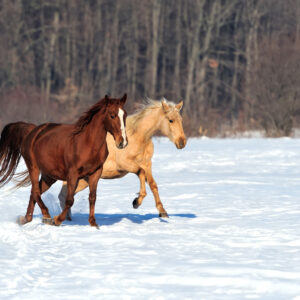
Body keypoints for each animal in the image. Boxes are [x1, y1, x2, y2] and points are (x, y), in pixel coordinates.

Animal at [0, 94, 127, 227]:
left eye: (125, 115)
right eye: (112, 115)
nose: (122, 142)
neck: (87, 143)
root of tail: (33, 131)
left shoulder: (96, 173)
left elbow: (92, 197)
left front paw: (93, 224)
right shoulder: (73, 174)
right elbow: (69, 199)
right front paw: (57, 220)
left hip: (49, 176)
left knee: (34, 192)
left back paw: (26, 219)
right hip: (33, 167)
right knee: (35, 191)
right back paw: (46, 216)